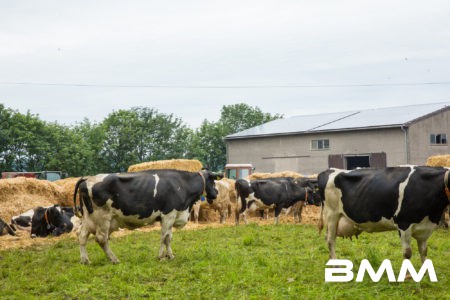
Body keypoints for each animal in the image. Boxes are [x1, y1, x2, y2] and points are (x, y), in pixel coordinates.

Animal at [72, 170, 220, 264]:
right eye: (213, 181)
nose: (216, 193)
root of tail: (87, 178)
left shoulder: (171, 216)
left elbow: (168, 238)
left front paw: (170, 255)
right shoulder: (168, 214)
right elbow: (164, 237)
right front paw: (161, 257)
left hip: (89, 218)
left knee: (82, 235)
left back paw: (85, 260)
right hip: (102, 217)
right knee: (101, 239)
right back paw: (114, 259)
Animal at [318, 166, 448, 262]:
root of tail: (329, 170)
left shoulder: (425, 227)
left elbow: (424, 251)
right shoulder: (403, 224)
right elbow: (407, 253)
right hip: (331, 214)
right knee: (330, 240)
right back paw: (336, 264)